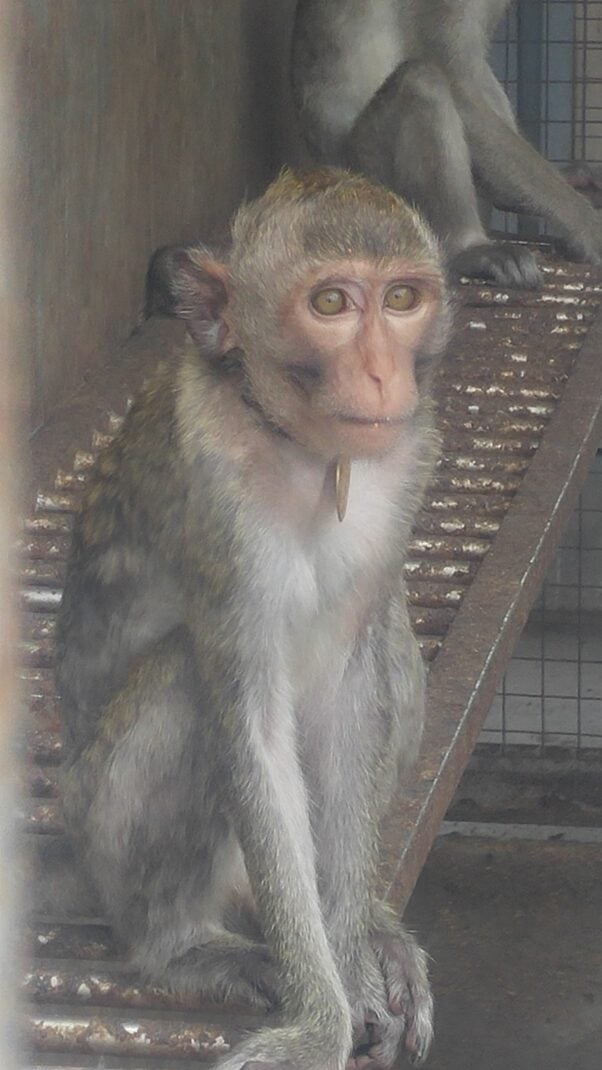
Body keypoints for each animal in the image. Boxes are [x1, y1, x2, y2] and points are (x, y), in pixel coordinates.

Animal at [54, 169, 450, 1070]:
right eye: (332, 302)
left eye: (402, 298)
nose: (384, 376)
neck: (304, 449)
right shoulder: (219, 502)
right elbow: (251, 724)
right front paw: (322, 1020)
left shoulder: (406, 461)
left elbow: (350, 700)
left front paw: (353, 965)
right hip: (102, 838)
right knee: (180, 679)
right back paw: (179, 945)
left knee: (389, 632)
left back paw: (372, 927)